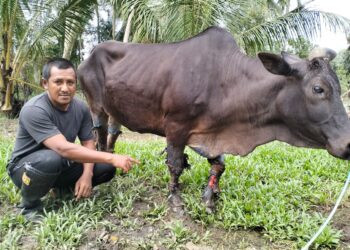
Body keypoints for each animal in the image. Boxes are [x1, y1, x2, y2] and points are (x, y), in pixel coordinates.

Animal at [78, 25, 350, 213]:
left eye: (338, 87)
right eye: (318, 89)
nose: (348, 144)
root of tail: (89, 56)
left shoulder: (213, 133)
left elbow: (218, 166)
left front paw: (211, 196)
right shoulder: (176, 127)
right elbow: (175, 164)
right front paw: (175, 198)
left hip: (116, 109)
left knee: (113, 132)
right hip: (96, 104)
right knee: (99, 132)